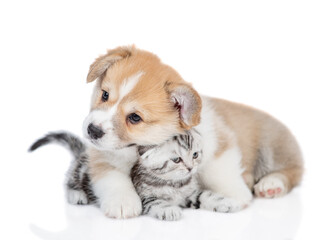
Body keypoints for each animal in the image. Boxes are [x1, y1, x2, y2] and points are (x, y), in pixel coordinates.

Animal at [82, 46, 304, 218]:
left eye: (135, 118)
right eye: (105, 94)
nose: (92, 130)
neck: (139, 149)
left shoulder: (219, 144)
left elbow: (219, 170)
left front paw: (236, 194)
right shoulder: (104, 158)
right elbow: (113, 178)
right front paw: (122, 203)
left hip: (272, 148)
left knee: (293, 172)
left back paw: (271, 183)